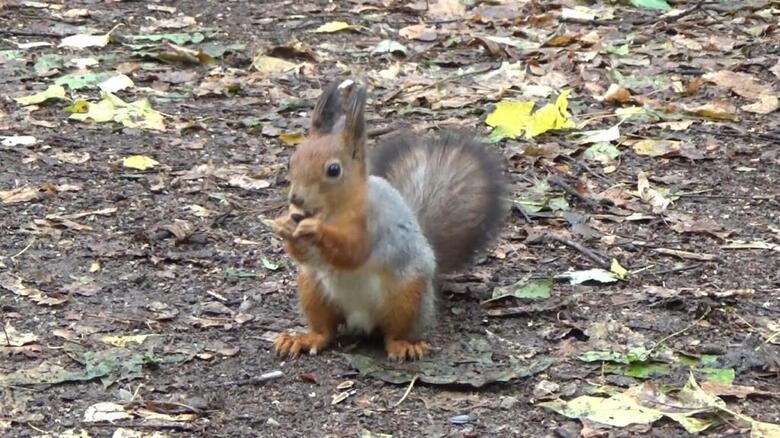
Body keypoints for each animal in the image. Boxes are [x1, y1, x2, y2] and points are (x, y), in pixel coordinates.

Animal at [272, 78, 506, 360]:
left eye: (334, 170)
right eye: (292, 160)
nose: (296, 199)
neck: (334, 211)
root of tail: (360, 319)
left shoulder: (374, 222)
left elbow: (353, 252)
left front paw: (315, 229)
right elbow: (306, 255)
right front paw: (284, 225)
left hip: (407, 295)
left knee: (394, 332)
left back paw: (404, 345)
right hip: (312, 290)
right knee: (325, 330)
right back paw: (303, 339)